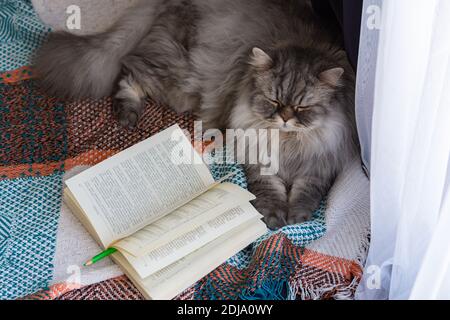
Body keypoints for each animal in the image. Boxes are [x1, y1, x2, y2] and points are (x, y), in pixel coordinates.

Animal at [35, 0, 358, 230]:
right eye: (274, 100)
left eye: (302, 107)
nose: (285, 118)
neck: (288, 143)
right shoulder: (257, 158)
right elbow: (269, 190)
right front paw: (274, 217)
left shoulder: (319, 167)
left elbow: (306, 193)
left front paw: (297, 217)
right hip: (178, 77)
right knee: (129, 70)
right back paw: (128, 114)